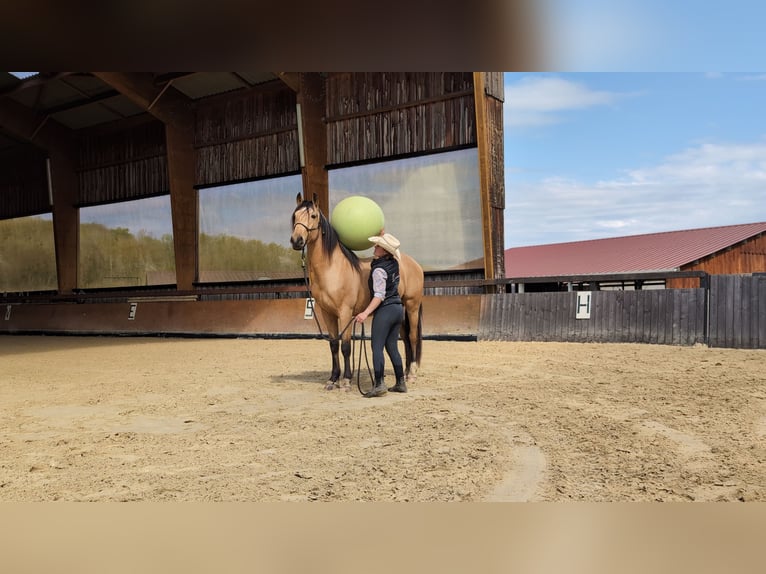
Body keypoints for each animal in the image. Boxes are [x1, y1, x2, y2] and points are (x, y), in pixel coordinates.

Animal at [290, 193, 424, 390]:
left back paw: (412, 375)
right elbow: (333, 345)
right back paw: (406, 374)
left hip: (412, 306)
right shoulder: (327, 314)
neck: (333, 269)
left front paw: (346, 381)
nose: (296, 240)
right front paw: (332, 379)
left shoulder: (345, 313)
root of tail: (414, 264)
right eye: (294, 216)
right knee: (406, 339)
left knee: (413, 337)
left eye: (313, 216)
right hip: (401, 312)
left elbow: (346, 347)